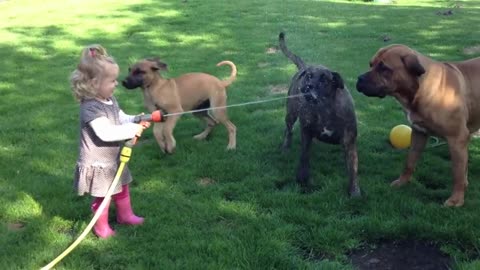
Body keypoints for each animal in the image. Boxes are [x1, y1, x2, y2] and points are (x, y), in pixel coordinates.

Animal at [280, 32, 358, 196]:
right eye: (309, 76)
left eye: (324, 80)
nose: (308, 86)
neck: (325, 108)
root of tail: (304, 66)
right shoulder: (306, 133)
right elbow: (304, 157)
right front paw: (302, 178)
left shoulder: (349, 141)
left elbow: (353, 169)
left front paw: (355, 191)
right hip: (291, 113)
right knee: (288, 130)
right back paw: (285, 147)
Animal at [354, 44, 480, 207]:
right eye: (371, 64)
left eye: (384, 68)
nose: (359, 79)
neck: (418, 91)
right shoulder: (418, 133)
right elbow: (409, 161)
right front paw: (402, 182)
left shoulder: (457, 138)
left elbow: (457, 172)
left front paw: (456, 199)